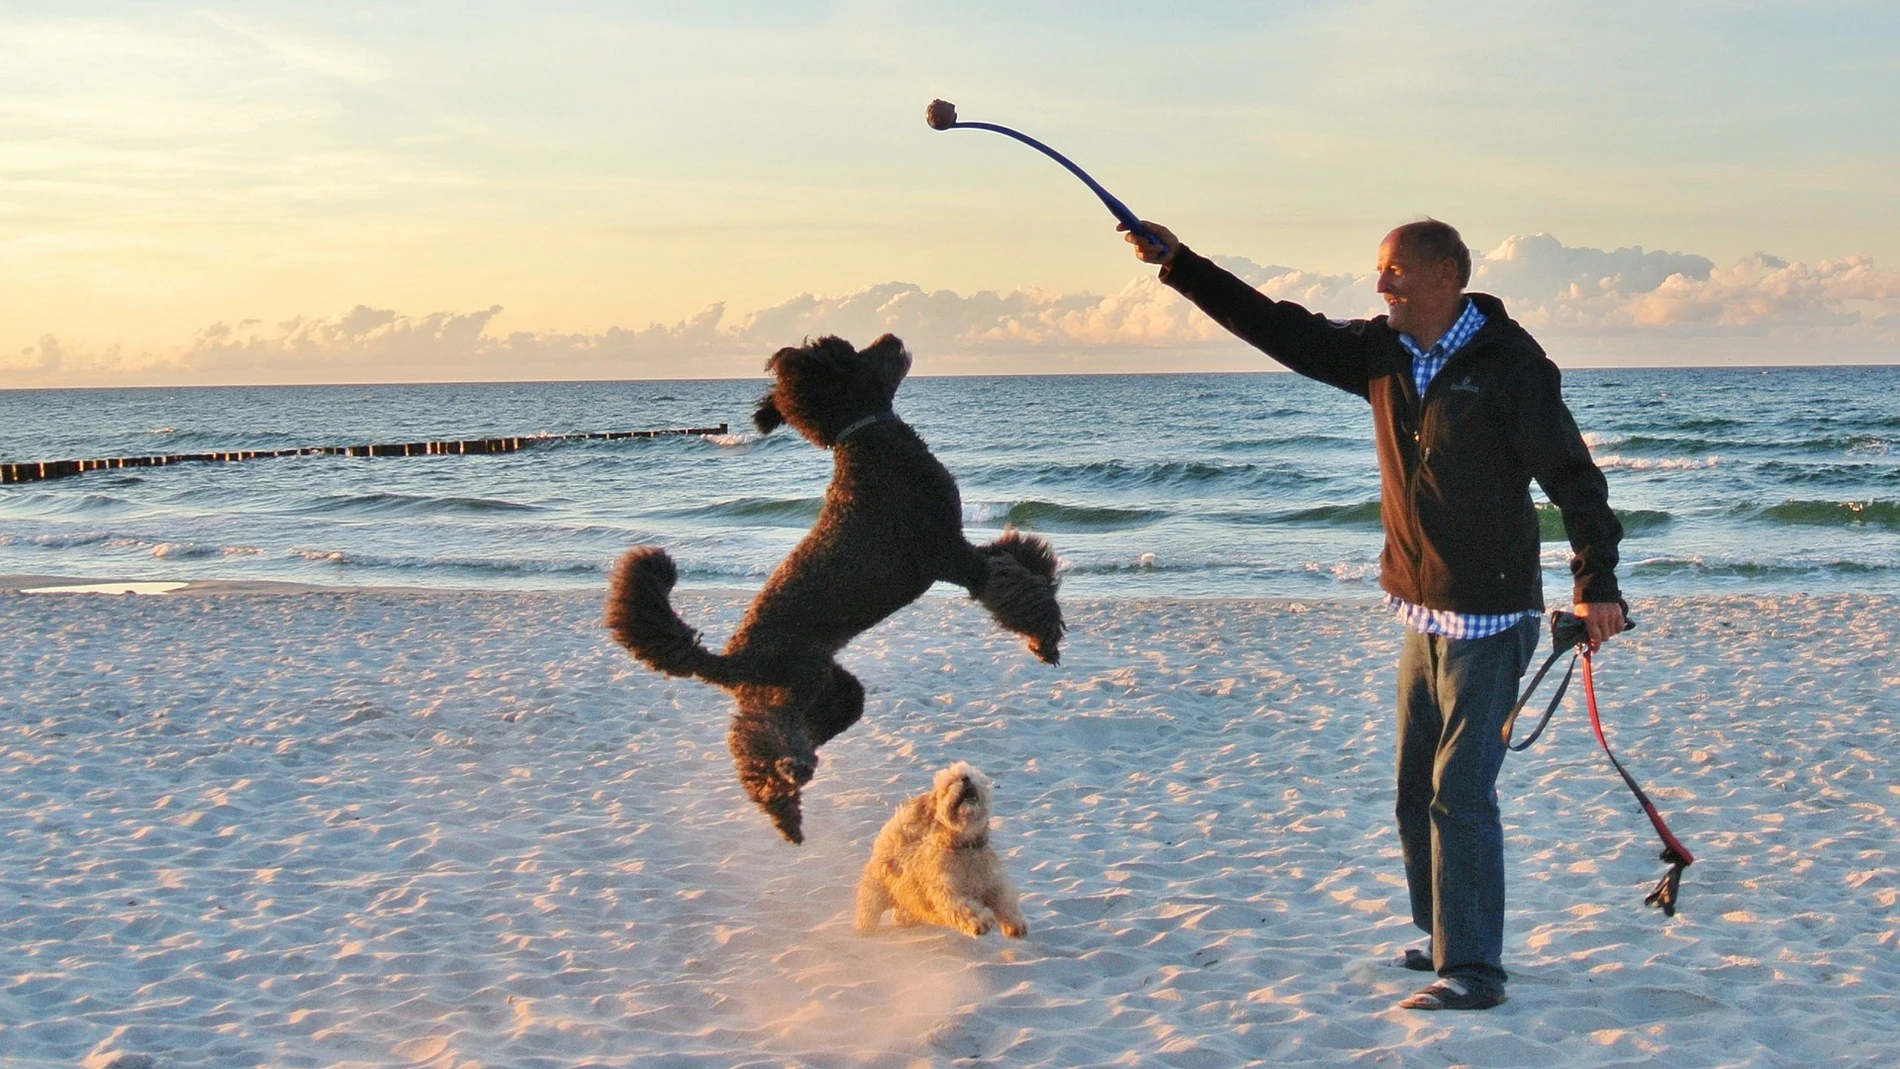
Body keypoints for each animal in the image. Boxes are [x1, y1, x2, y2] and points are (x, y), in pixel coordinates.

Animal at [604, 334, 1064, 846]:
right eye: (849, 353)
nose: (891, 338)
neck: (862, 440)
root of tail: (729, 659)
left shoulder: (961, 549)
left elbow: (1023, 557)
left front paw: (1048, 613)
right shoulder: (951, 557)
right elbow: (1018, 587)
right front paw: (1044, 637)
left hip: (833, 693)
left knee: (806, 733)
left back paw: (795, 779)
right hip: (784, 689)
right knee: (757, 744)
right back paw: (781, 796)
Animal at [855, 759, 1026, 937]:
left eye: (973, 777)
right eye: (949, 784)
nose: (965, 779)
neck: (966, 848)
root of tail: (892, 845)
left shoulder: (994, 883)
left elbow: (1005, 901)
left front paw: (1014, 924)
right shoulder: (947, 892)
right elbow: (965, 908)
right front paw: (980, 922)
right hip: (873, 895)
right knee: (868, 913)